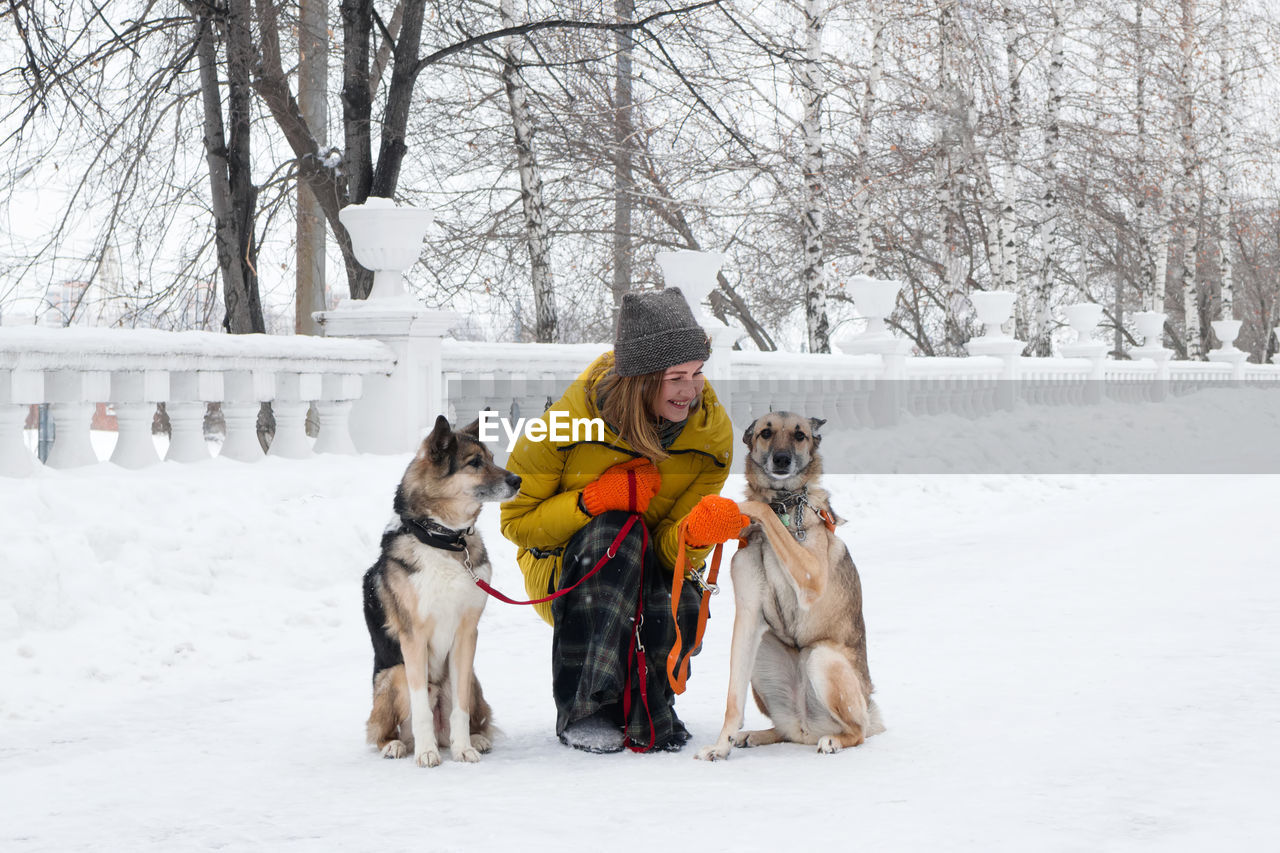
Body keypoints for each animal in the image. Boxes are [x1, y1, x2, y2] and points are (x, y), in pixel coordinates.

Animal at [696, 412, 885, 758]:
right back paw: (754, 735)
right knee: (787, 731)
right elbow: (733, 699)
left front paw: (739, 507)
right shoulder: (747, 616)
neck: (784, 504)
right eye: (766, 433)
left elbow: (761, 510)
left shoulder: (810, 575)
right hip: (762, 654)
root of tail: (808, 726)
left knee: (858, 731)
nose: (781, 459)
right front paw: (721, 746)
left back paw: (834, 740)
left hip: (822, 657)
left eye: (800, 435)